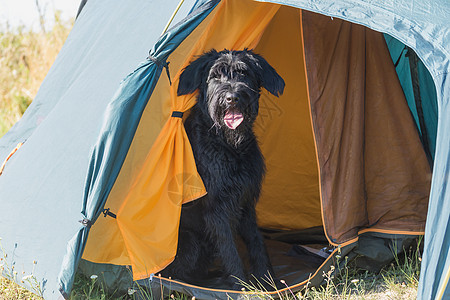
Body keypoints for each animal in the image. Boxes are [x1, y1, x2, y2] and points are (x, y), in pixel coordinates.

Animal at [163, 49, 284, 290]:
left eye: (244, 73)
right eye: (215, 76)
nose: (232, 97)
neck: (230, 146)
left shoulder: (246, 201)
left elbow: (256, 241)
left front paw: (267, 279)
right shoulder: (217, 208)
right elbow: (229, 249)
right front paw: (241, 285)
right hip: (191, 242)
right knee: (177, 275)